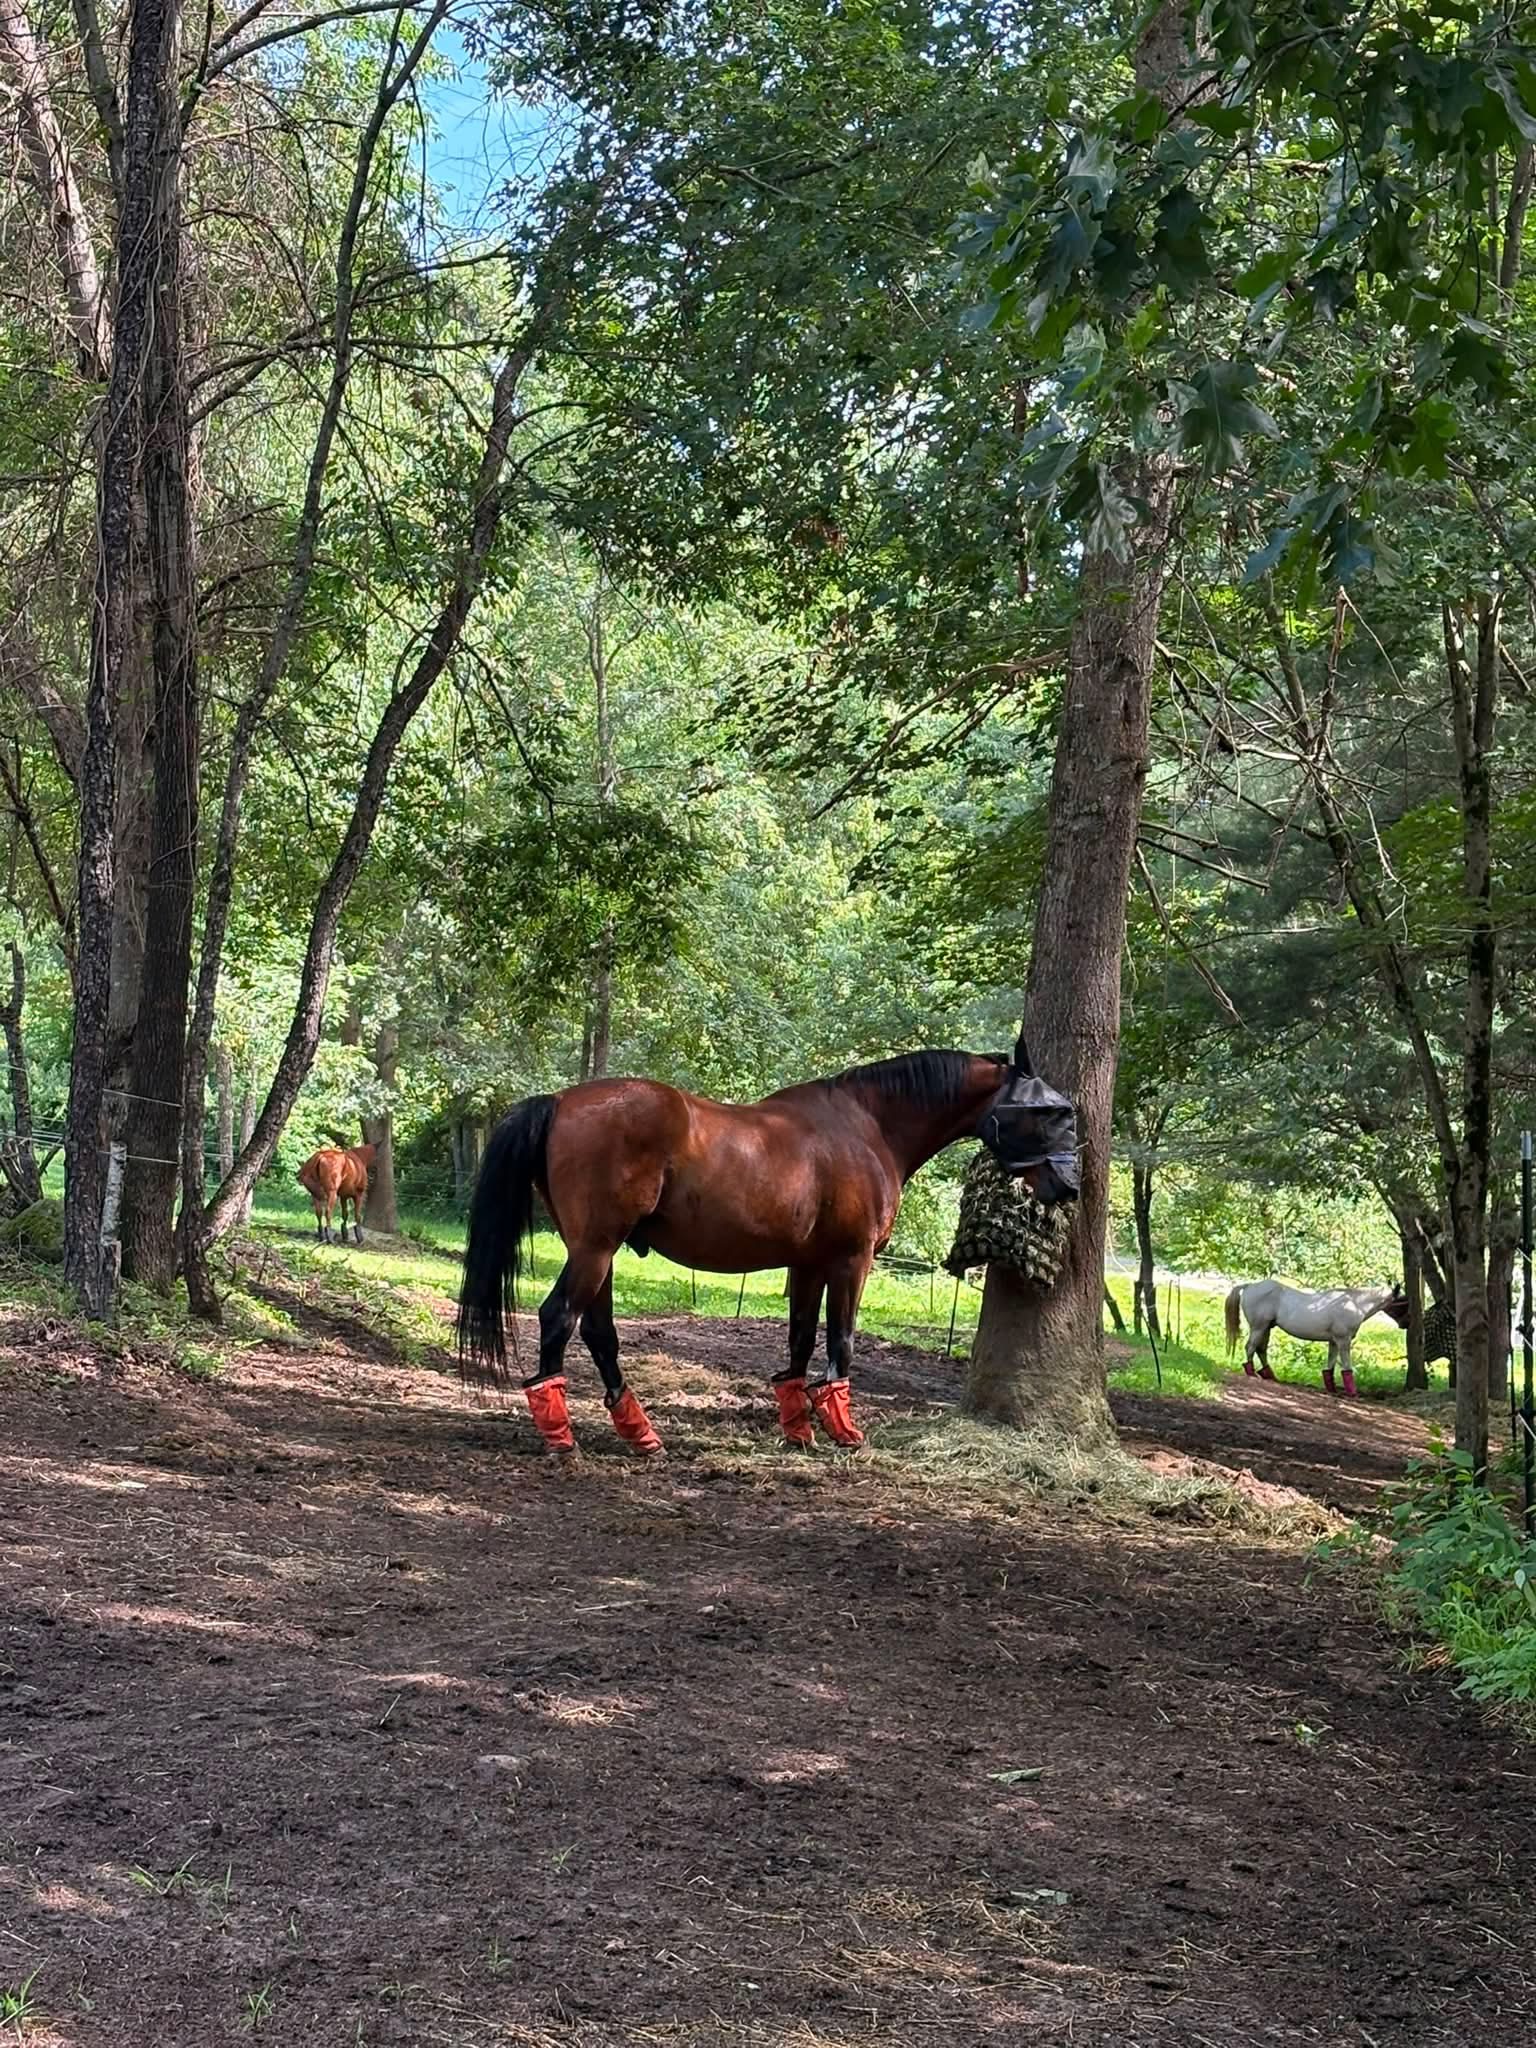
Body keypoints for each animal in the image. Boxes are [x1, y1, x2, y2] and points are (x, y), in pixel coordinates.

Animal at [457, 1037, 1079, 1460]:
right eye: (1050, 1112)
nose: (1069, 1187)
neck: (867, 1127)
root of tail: (561, 1101)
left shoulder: (807, 1264)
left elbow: (800, 1341)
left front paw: (799, 1430)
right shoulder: (851, 1261)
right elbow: (841, 1340)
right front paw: (844, 1432)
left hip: (596, 1252)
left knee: (598, 1330)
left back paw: (641, 1434)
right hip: (595, 1249)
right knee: (558, 1318)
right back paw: (561, 1437)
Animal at [1224, 1279, 1409, 1397]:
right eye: (1402, 1301)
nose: (1405, 1324)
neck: (1353, 1304)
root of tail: (1249, 1286)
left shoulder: (1333, 1341)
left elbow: (1330, 1366)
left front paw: (1332, 1389)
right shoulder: (1343, 1340)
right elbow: (1346, 1367)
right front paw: (1352, 1392)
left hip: (1266, 1328)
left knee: (1260, 1349)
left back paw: (1270, 1376)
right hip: (1259, 1327)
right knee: (1250, 1347)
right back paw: (1251, 1373)